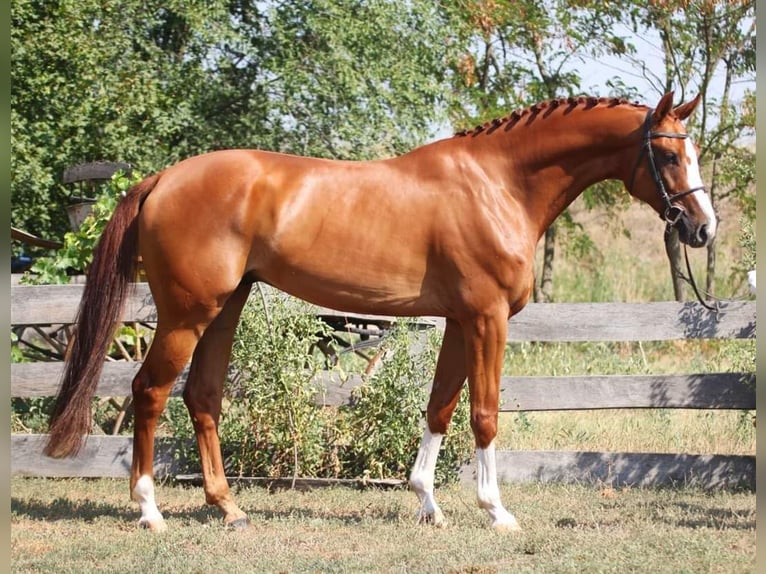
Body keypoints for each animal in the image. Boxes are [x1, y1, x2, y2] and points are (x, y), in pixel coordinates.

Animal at [44, 91, 716, 532]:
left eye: (694, 152)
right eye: (669, 156)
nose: (703, 228)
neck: (497, 183)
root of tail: (161, 179)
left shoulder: (459, 321)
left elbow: (440, 407)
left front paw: (428, 504)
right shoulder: (487, 319)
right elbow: (484, 414)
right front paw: (496, 511)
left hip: (225, 306)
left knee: (202, 396)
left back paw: (229, 508)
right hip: (186, 314)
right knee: (149, 392)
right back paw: (150, 511)